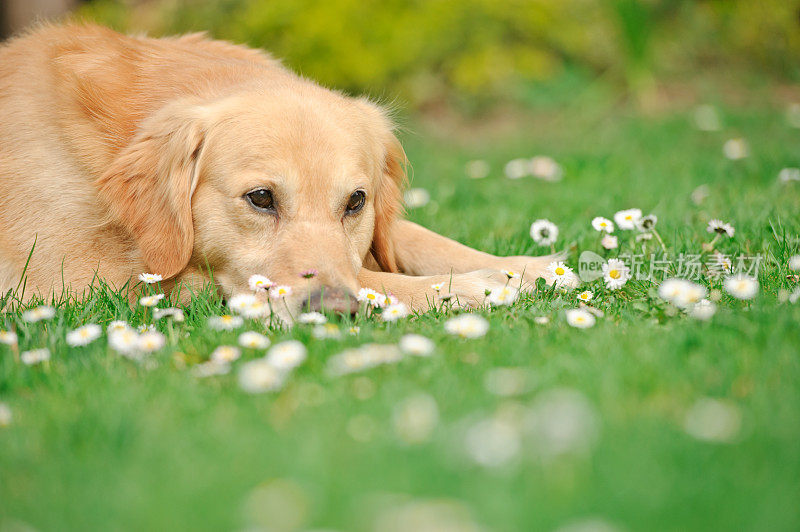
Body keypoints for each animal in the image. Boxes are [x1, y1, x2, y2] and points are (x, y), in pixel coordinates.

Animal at [0, 22, 564, 318]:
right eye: (261, 198)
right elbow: (373, 276)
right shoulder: (76, 286)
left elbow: (411, 237)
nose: (335, 310)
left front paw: (527, 266)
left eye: (355, 202)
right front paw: (466, 287)